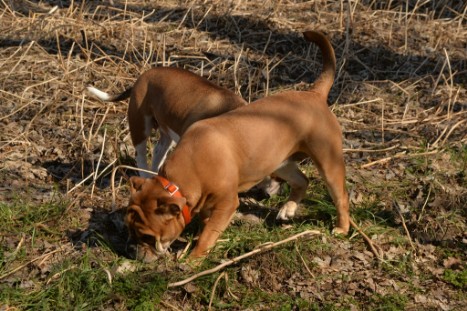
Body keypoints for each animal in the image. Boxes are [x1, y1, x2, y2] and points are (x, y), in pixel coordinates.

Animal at [86, 66, 247, 177]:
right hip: (140, 126)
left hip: (166, 132)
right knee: (141, 156)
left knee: (158, 152)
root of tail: (143, 76)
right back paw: (145, 177)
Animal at [125, 31, 352, 260]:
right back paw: (288, 209)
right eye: (131, 229)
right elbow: (208, 225)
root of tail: (314, 94)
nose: (133, 250)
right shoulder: (207, 202)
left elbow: (208, 233)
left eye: (147, 236)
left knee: (340, 196)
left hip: (328, 161)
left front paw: (194, 259)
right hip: (281, 164)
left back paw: (341, 228)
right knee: (302, 181)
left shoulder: (227, 203)